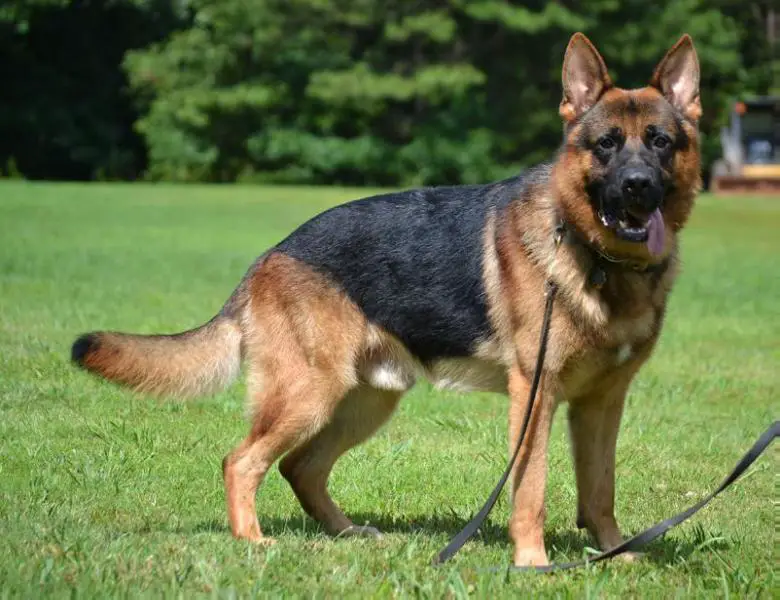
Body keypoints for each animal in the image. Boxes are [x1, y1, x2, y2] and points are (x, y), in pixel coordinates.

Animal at [76, 34, 704, 568]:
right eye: (605, 146)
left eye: (660, 143)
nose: (638, 187)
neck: (598, 259)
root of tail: (270, 256)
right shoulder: (536, 396)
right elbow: (532, 490)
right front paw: (533, 564)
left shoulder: (602, 405)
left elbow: (600, 490)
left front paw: (614, 555)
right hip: (310, 393)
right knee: (243, 461)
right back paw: (252, 540)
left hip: (364, 401)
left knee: (301, 467)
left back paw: (346, 533)